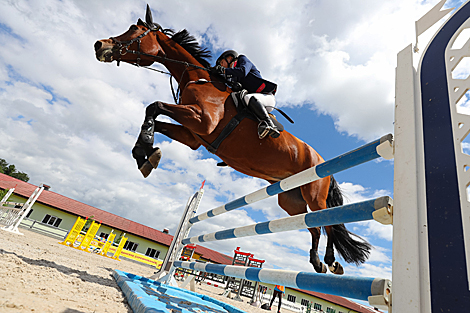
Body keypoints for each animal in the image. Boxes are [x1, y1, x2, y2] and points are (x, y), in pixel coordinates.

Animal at [92, 4, 370, 272]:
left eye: (135, 31)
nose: (99, 45)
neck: (197, 78)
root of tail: (322, 160)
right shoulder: (193, 135)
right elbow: (153, 115)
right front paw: (145, 154)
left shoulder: (201, 120)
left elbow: (155, 105)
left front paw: (146, 152)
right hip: (291, 200)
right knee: (313, 225)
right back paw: (317, 261)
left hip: (314, 193)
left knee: (329, 222)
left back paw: (331, 261)